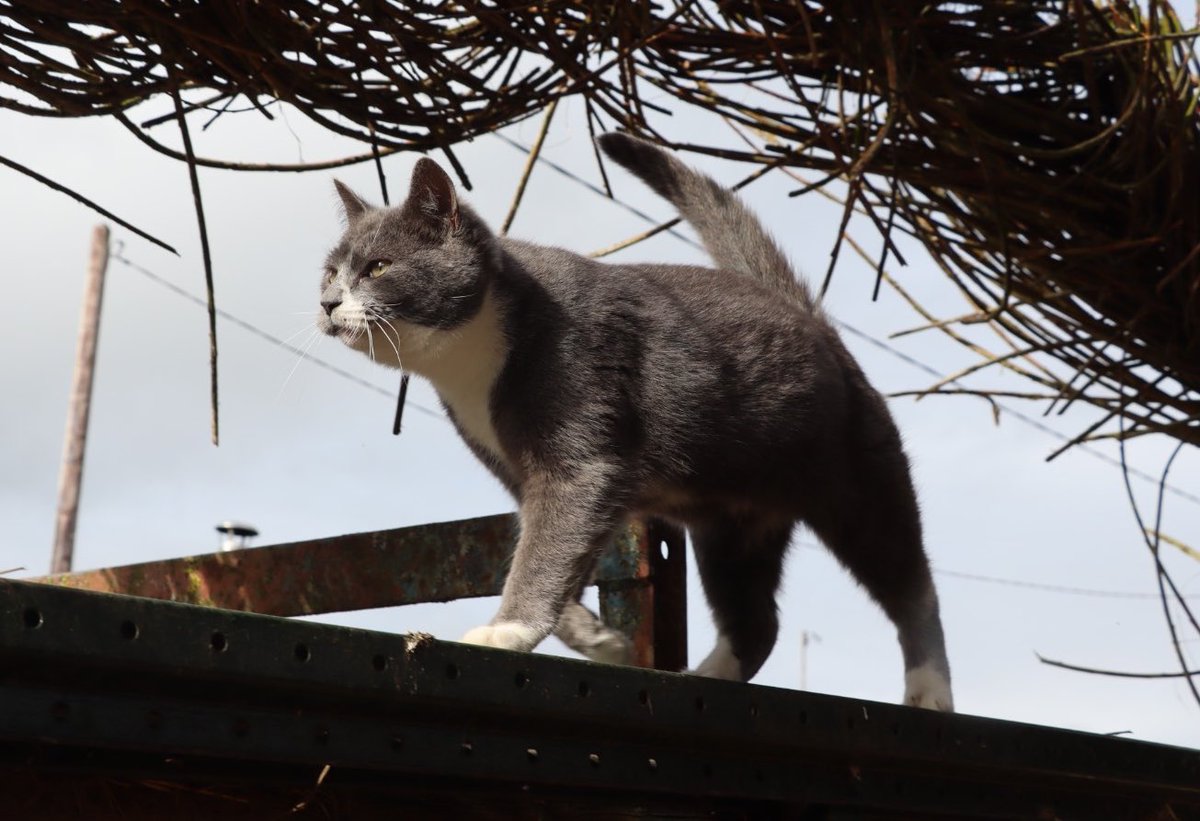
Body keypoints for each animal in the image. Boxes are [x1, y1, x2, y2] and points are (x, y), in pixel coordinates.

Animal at [319, 131, 955, 710]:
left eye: (378, 267)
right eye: (328, 273)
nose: (326, 303)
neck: (472, 363)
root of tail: (805, 313)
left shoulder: (582, 451)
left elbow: (546, 548)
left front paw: (507, 631)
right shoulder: (524, 476)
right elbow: (551, 550)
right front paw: (601, 641)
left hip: (858, 480)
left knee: (913, 586)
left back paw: (930, 692)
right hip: (730, 523)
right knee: (756, 622)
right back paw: (703, 678)